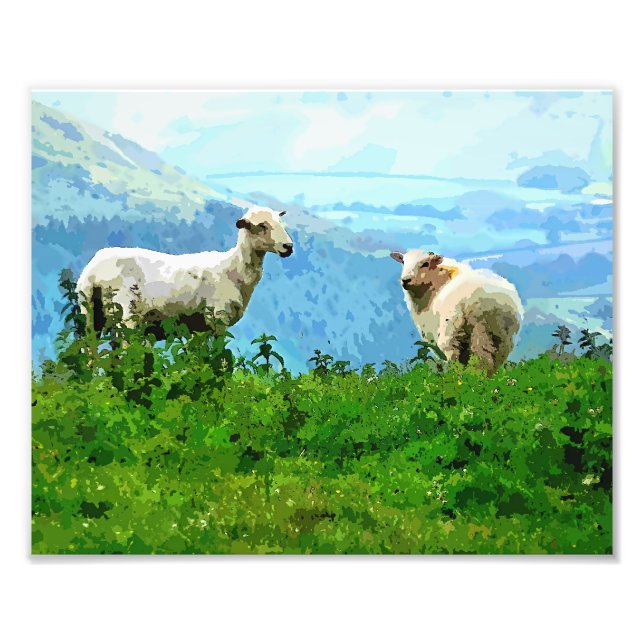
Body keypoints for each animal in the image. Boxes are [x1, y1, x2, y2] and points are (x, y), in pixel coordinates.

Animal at [77, 206, 294, 338]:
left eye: (281, 224)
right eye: (261, 226)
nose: (288, 247)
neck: (235, 269)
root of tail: (92, 270)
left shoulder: (199, 328)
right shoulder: (218, 317)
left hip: (90, 314)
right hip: (126, 315)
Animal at [390, 249, 523, 374]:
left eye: (425, 264)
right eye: (403, 262)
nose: (405, 280)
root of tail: (484, 302)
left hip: (453, 330)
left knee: (460, 358)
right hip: (501, 335)